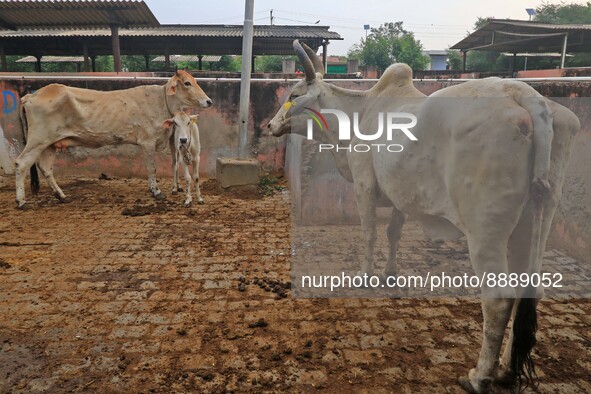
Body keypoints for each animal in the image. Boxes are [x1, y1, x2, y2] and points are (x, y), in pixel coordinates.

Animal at [15, 69, 214, 209]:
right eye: (187, 83)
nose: (209, 101)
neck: (161, 101)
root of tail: (30, 95)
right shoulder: (148, 143)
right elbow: (152, 168)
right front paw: (156, 191)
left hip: (49, 144)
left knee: (46, 168)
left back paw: (61, 196)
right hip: (37, 140)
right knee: (21, 163)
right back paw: (21, 201)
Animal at [268, 40, 584, 394]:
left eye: (294, 93)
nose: (270, 125)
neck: (359, 114)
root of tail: (525, 94)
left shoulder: (364, 185)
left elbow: (370, 234)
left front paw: (366, 276)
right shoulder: (400, 195)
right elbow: (393, 232)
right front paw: (390, 274)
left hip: (485, 230)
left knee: (498, 299)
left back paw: (479, 376)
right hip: (534, 222)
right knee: (527, 290)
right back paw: (505, 370)